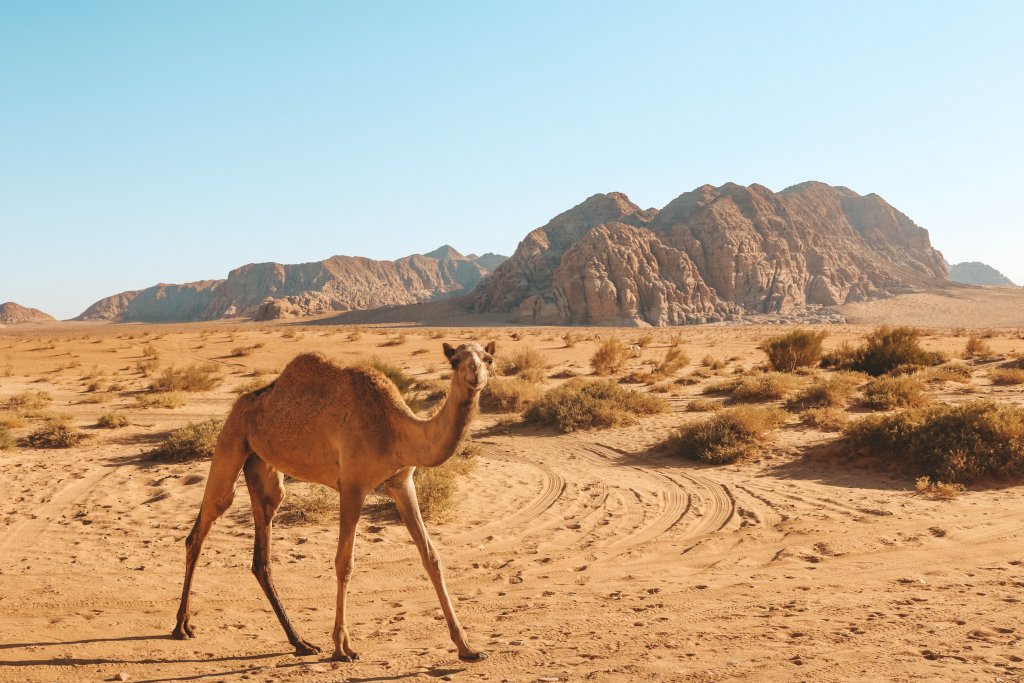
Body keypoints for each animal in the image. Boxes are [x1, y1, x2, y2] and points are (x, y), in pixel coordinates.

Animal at [171, 342, 495, 663]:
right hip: (231, 440)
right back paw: (181, 626)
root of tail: (242, 401)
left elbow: (431, 557)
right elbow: (344, 563)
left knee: (261, 553)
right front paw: (342, 647)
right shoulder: (352, 486)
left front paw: (467, 646)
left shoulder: (401, 483)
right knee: (202, 527)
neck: (394, 429)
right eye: (455, 360)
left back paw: (300, 642)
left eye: (488, 358)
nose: (475, 375)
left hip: (263, 468)